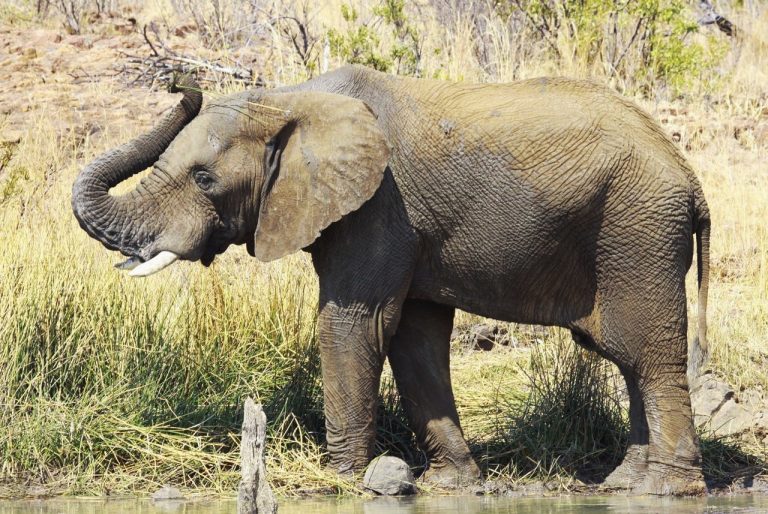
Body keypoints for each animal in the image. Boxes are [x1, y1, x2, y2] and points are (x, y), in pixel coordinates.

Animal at [72, 65, 711, 495]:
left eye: (204, 179)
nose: (182, 85)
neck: (290, 99)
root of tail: (689, 175)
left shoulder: (379, 205)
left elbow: (353, 322)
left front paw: (343, 478)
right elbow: (413, 338)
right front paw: (453, 485)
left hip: (637, 231)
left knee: (647, 354)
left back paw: (665, 491)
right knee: (628, 358)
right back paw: (623, 484)